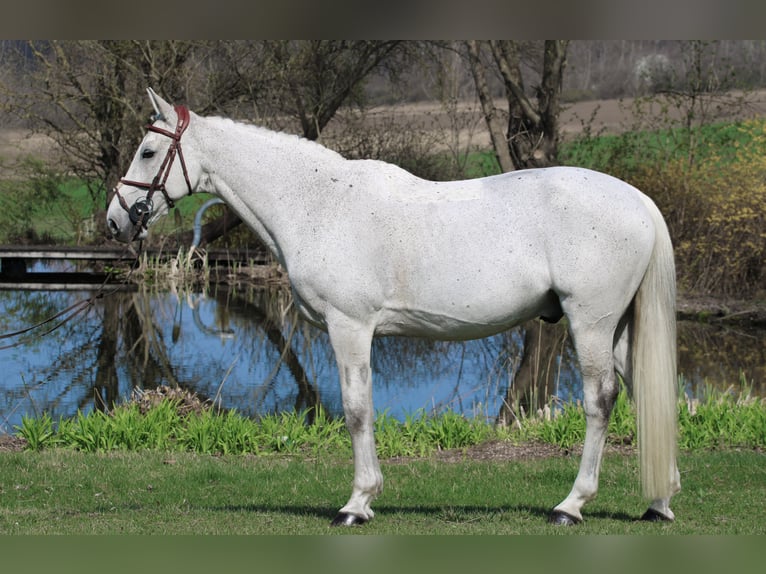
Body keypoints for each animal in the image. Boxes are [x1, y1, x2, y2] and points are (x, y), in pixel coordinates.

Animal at [105, 89, 680, 528]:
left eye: (149, 152)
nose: (115, 220)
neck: (317, 203)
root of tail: (639, 200)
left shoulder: (349, 328)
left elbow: (357, 411)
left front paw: (357, 504)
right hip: (618, 329)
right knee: (643, 392)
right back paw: (658, 502)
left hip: (591, 323)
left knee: (600, 400)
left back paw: (571, 505)